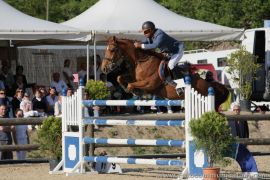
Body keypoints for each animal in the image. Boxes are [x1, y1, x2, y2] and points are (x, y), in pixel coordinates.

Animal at [100, 36, 228, 111]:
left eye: (112, 50)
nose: (104, 68)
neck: (142, 61)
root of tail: (210, 85)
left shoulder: (149, 84)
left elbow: (132, 85)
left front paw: (135, 91)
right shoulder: (133, 77)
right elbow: (119, 77)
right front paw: (126, 89)